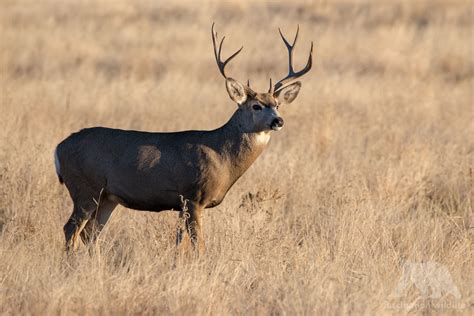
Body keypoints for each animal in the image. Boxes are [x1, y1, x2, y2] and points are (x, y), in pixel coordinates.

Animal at [54, 23, 312, 254]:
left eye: (277, 104)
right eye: (256, 106)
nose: (278, 121)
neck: (222, 156)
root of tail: (58, 148)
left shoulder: (181, 204)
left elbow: (180, 243)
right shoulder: (193, 196)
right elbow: (199, 245)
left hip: (108, 197)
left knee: (89, 234)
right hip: (85, 188)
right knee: (71, 229)